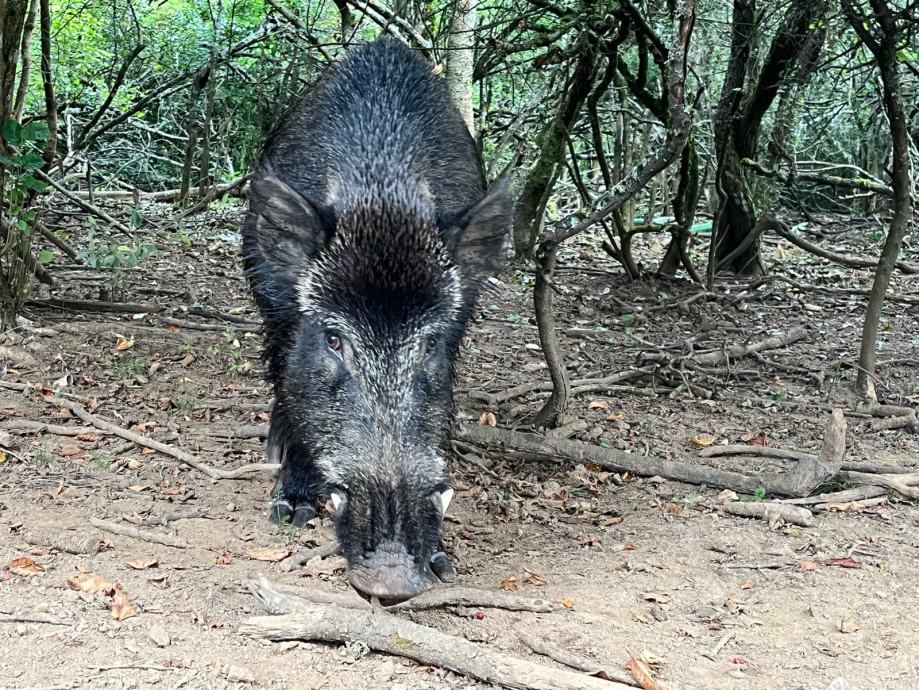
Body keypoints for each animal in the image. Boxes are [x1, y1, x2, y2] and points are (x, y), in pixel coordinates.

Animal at [241, 38, 511, 602]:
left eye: (429, 345)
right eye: (334, 339)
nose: (391, 578)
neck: (382, 200)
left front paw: (443, 562)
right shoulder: (281, 310)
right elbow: (291, 387)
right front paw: (290, 509)